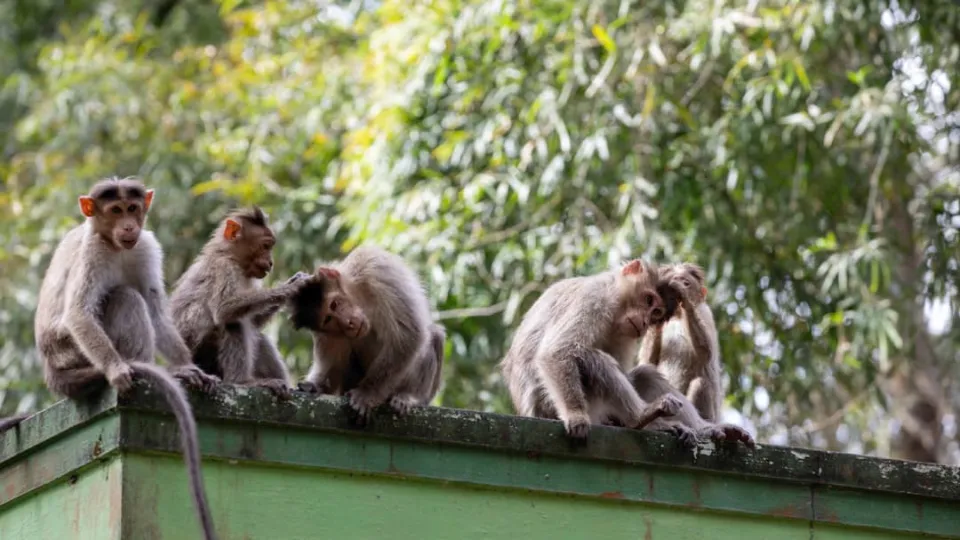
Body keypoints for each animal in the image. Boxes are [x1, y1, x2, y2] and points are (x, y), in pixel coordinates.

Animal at [34, 177, 219, 540]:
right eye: (115, 210)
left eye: (132, 208)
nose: (129, 225)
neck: (115, 246)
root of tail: (53, 373)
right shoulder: (93, 252)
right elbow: (78, 313)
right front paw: (117, 369)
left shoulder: (145, 246)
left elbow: (156, 309)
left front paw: (186, 367)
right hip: (70, 352)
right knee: (124, 297)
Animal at [170, 207, 310, 400]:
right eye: (266, 246)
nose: (271, 262)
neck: (228, 255)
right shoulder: (224, 267)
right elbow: (224, 309)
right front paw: (292, 287)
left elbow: (254, 321)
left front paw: (293, 281)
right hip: (196, 352)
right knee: (232, 322)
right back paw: (242, 382)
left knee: (257, 335)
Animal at [289, 246, 445, 418]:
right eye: (328, 319)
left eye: (334, 304)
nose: (348, 324)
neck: (357, 292)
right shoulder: (325, 333)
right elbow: (333, 367)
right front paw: (314, 386)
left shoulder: (374, 268)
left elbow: (409, 334)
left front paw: (367, 392)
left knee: (433, 336)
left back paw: (409, 396)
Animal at [499, 259, 685, 439]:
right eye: (648, 300)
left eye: (656, 312)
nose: (645, 323)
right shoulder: (595, 297)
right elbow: (558, 350)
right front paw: (575, 414)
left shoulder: (624, 334)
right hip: (547, 404)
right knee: (588, 357)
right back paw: (641, 416)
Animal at [637, 262, 723, 422]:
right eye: (676, 277)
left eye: (686, 282)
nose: (679, 284)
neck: (678, 317)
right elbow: (648, 362)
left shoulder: (705, 312)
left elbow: (707, 354)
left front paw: (686, 301)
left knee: (700, 383)